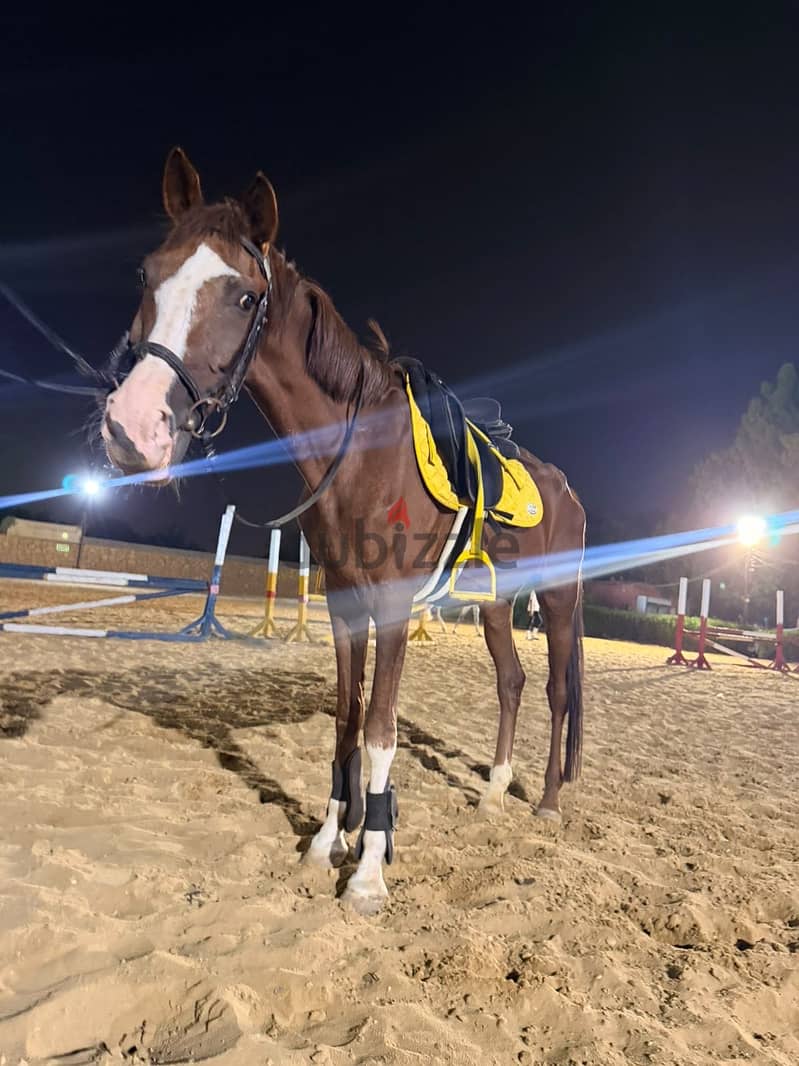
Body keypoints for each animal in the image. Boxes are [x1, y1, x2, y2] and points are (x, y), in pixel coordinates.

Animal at [101, 147, 586, 915]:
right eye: (146, 275)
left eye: (245, 297)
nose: (132, 427)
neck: (363, 454)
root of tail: (566, 488)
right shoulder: (340, 602)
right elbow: (345, 718)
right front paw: (333, 838)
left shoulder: (390, 605)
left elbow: (381, 731)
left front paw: (369, 868)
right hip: (495, 603)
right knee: (510, 681)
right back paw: (492, 791)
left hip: (559, 600)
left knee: (555, 692)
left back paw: (544, 803)